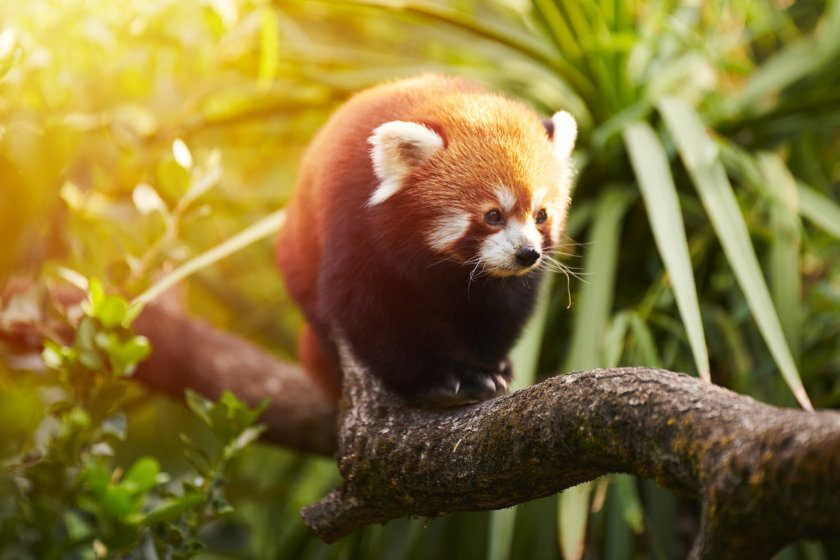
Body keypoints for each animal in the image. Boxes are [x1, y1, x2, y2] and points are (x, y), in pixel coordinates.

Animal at [276, 74, 576, 406]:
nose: (527, 253)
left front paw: (486, 367)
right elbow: (372, 310)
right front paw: (443, 378)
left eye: (540, 215)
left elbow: (501, 309)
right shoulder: (353, 218)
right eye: (494, 215)